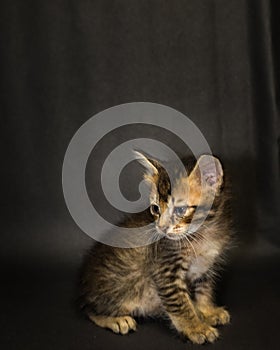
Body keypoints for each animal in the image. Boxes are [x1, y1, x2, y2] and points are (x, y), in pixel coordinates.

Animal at [79, 154, 232, 344]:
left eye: (180, 210)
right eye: (155, 208)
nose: (161, 227)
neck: (202, 234)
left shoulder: (206, 265)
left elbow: (204, 290)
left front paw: (206, 311)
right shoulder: (165, 270)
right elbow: (180, 303)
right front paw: (196, 327)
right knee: (89, 309)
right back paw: (117, 320)